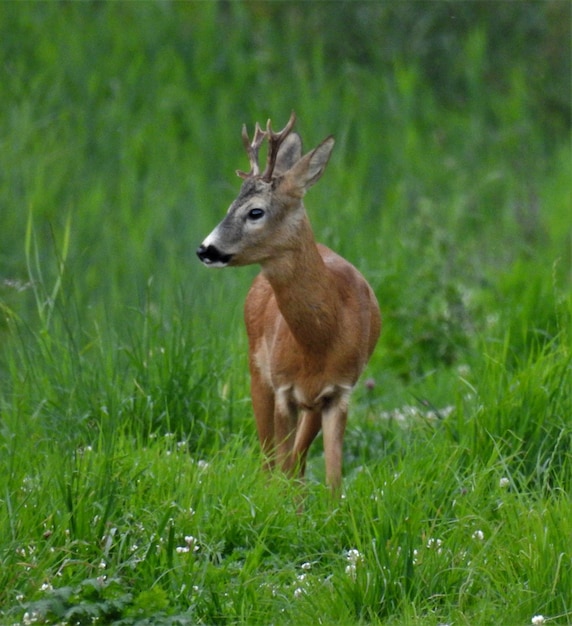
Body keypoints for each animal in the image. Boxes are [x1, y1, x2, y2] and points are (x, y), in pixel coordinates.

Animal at [197, 114, 380, 490]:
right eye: (229, 207)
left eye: (255, 212)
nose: (205, 249)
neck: (321, 339)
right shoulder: (283, 388)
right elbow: (281, 464)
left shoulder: (339, 392)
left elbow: (332, 479)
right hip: (257, 370)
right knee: (269, 458)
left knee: (296, 460)